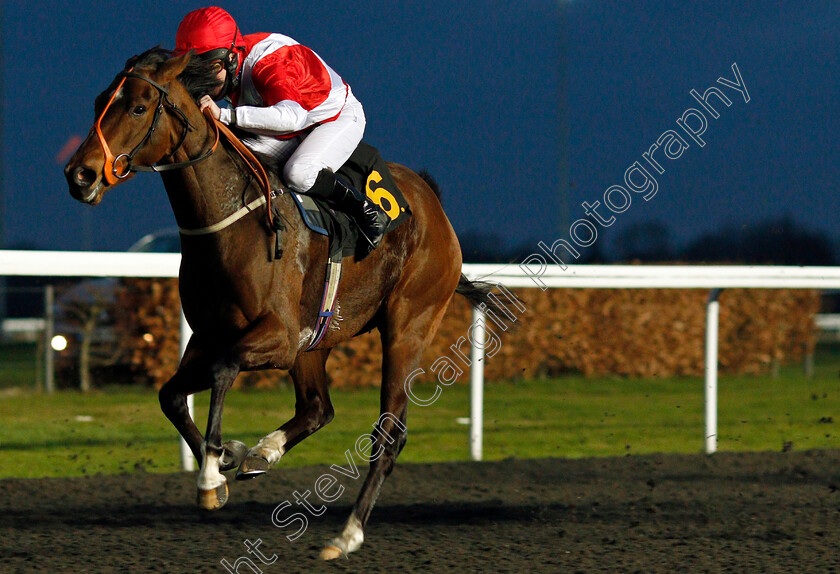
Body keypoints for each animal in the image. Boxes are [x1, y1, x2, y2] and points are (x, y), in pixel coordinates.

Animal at [64, 49, 506, 564]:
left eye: (137, 108)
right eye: (100, 102)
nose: (79, 175)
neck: (231, 222)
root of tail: (433, 204)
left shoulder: (275, 336)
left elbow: (223, 370)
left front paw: (211, 474)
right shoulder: (211, 335)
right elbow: (171, 394)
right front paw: (228, 455)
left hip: (407, 326)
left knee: (388, 433)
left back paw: (346, 534)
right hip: (317, 339)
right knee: (318, 408)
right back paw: (265, 451)